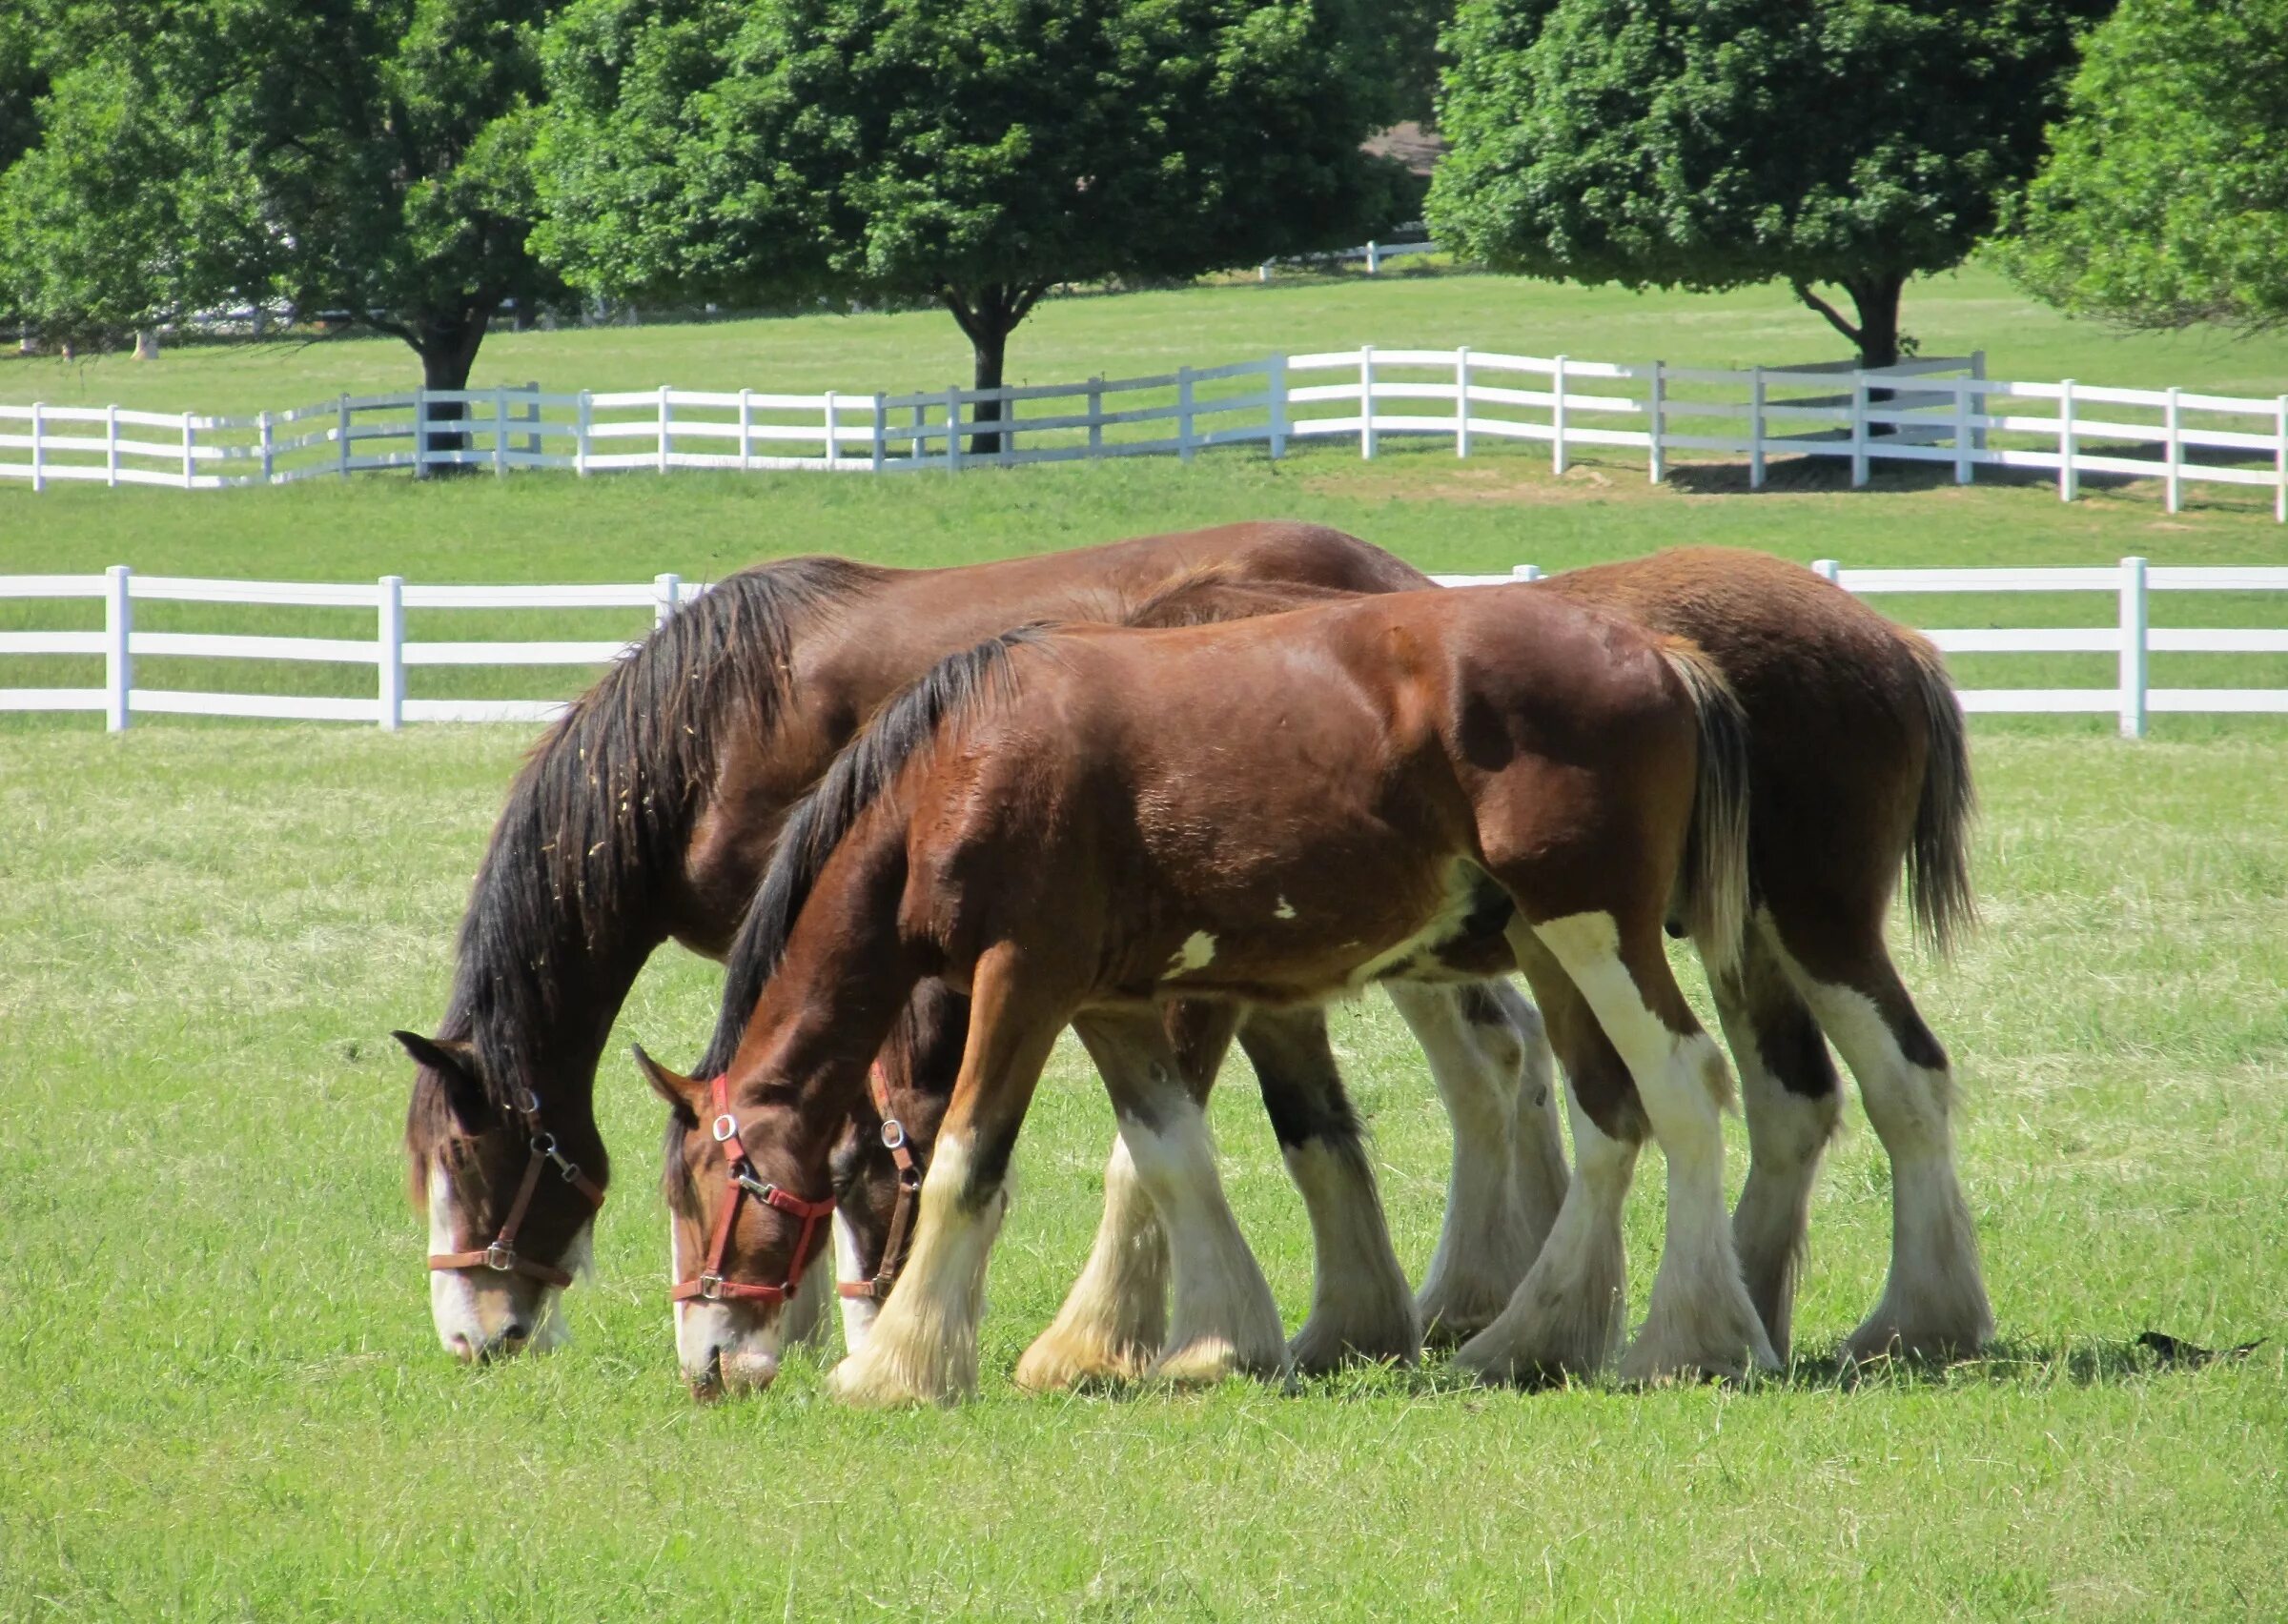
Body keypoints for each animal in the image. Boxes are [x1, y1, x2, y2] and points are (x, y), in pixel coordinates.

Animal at [402, 528, 1564, 1363]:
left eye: (463, 1156)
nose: (471, 1336)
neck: (718, 726)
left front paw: (847, 1328)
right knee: (1510, 1049)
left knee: (1493, 1057)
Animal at [636, 590, 1757, 1409]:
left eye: (711, 1188)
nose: (708, 1362)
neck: (960, 769)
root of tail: (1656, 650)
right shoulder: (1109, 1001)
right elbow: (1169, 1151)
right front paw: (1216, 1344)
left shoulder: (1023, 982)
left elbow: (968, 1160)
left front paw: (897, 1369)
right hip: (1546, 941)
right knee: (1609, 1110)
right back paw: (1530, 1339)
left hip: (1594, 929)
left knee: (1686, 1086)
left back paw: (1688, 1341)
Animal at [824, 553, 1986, 1381]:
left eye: (845, 1172)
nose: (835, 1331)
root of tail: (1892, 639)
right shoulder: (1275, 984)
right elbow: (1315, 1131)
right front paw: (1342, 1323)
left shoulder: (1181, 983)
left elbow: (1151, 1151)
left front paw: (1108, 1343)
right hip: (1730, 939)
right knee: (1787, 1099)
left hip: (1804, 922)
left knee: (1888, 1082)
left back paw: (1887, 1322)